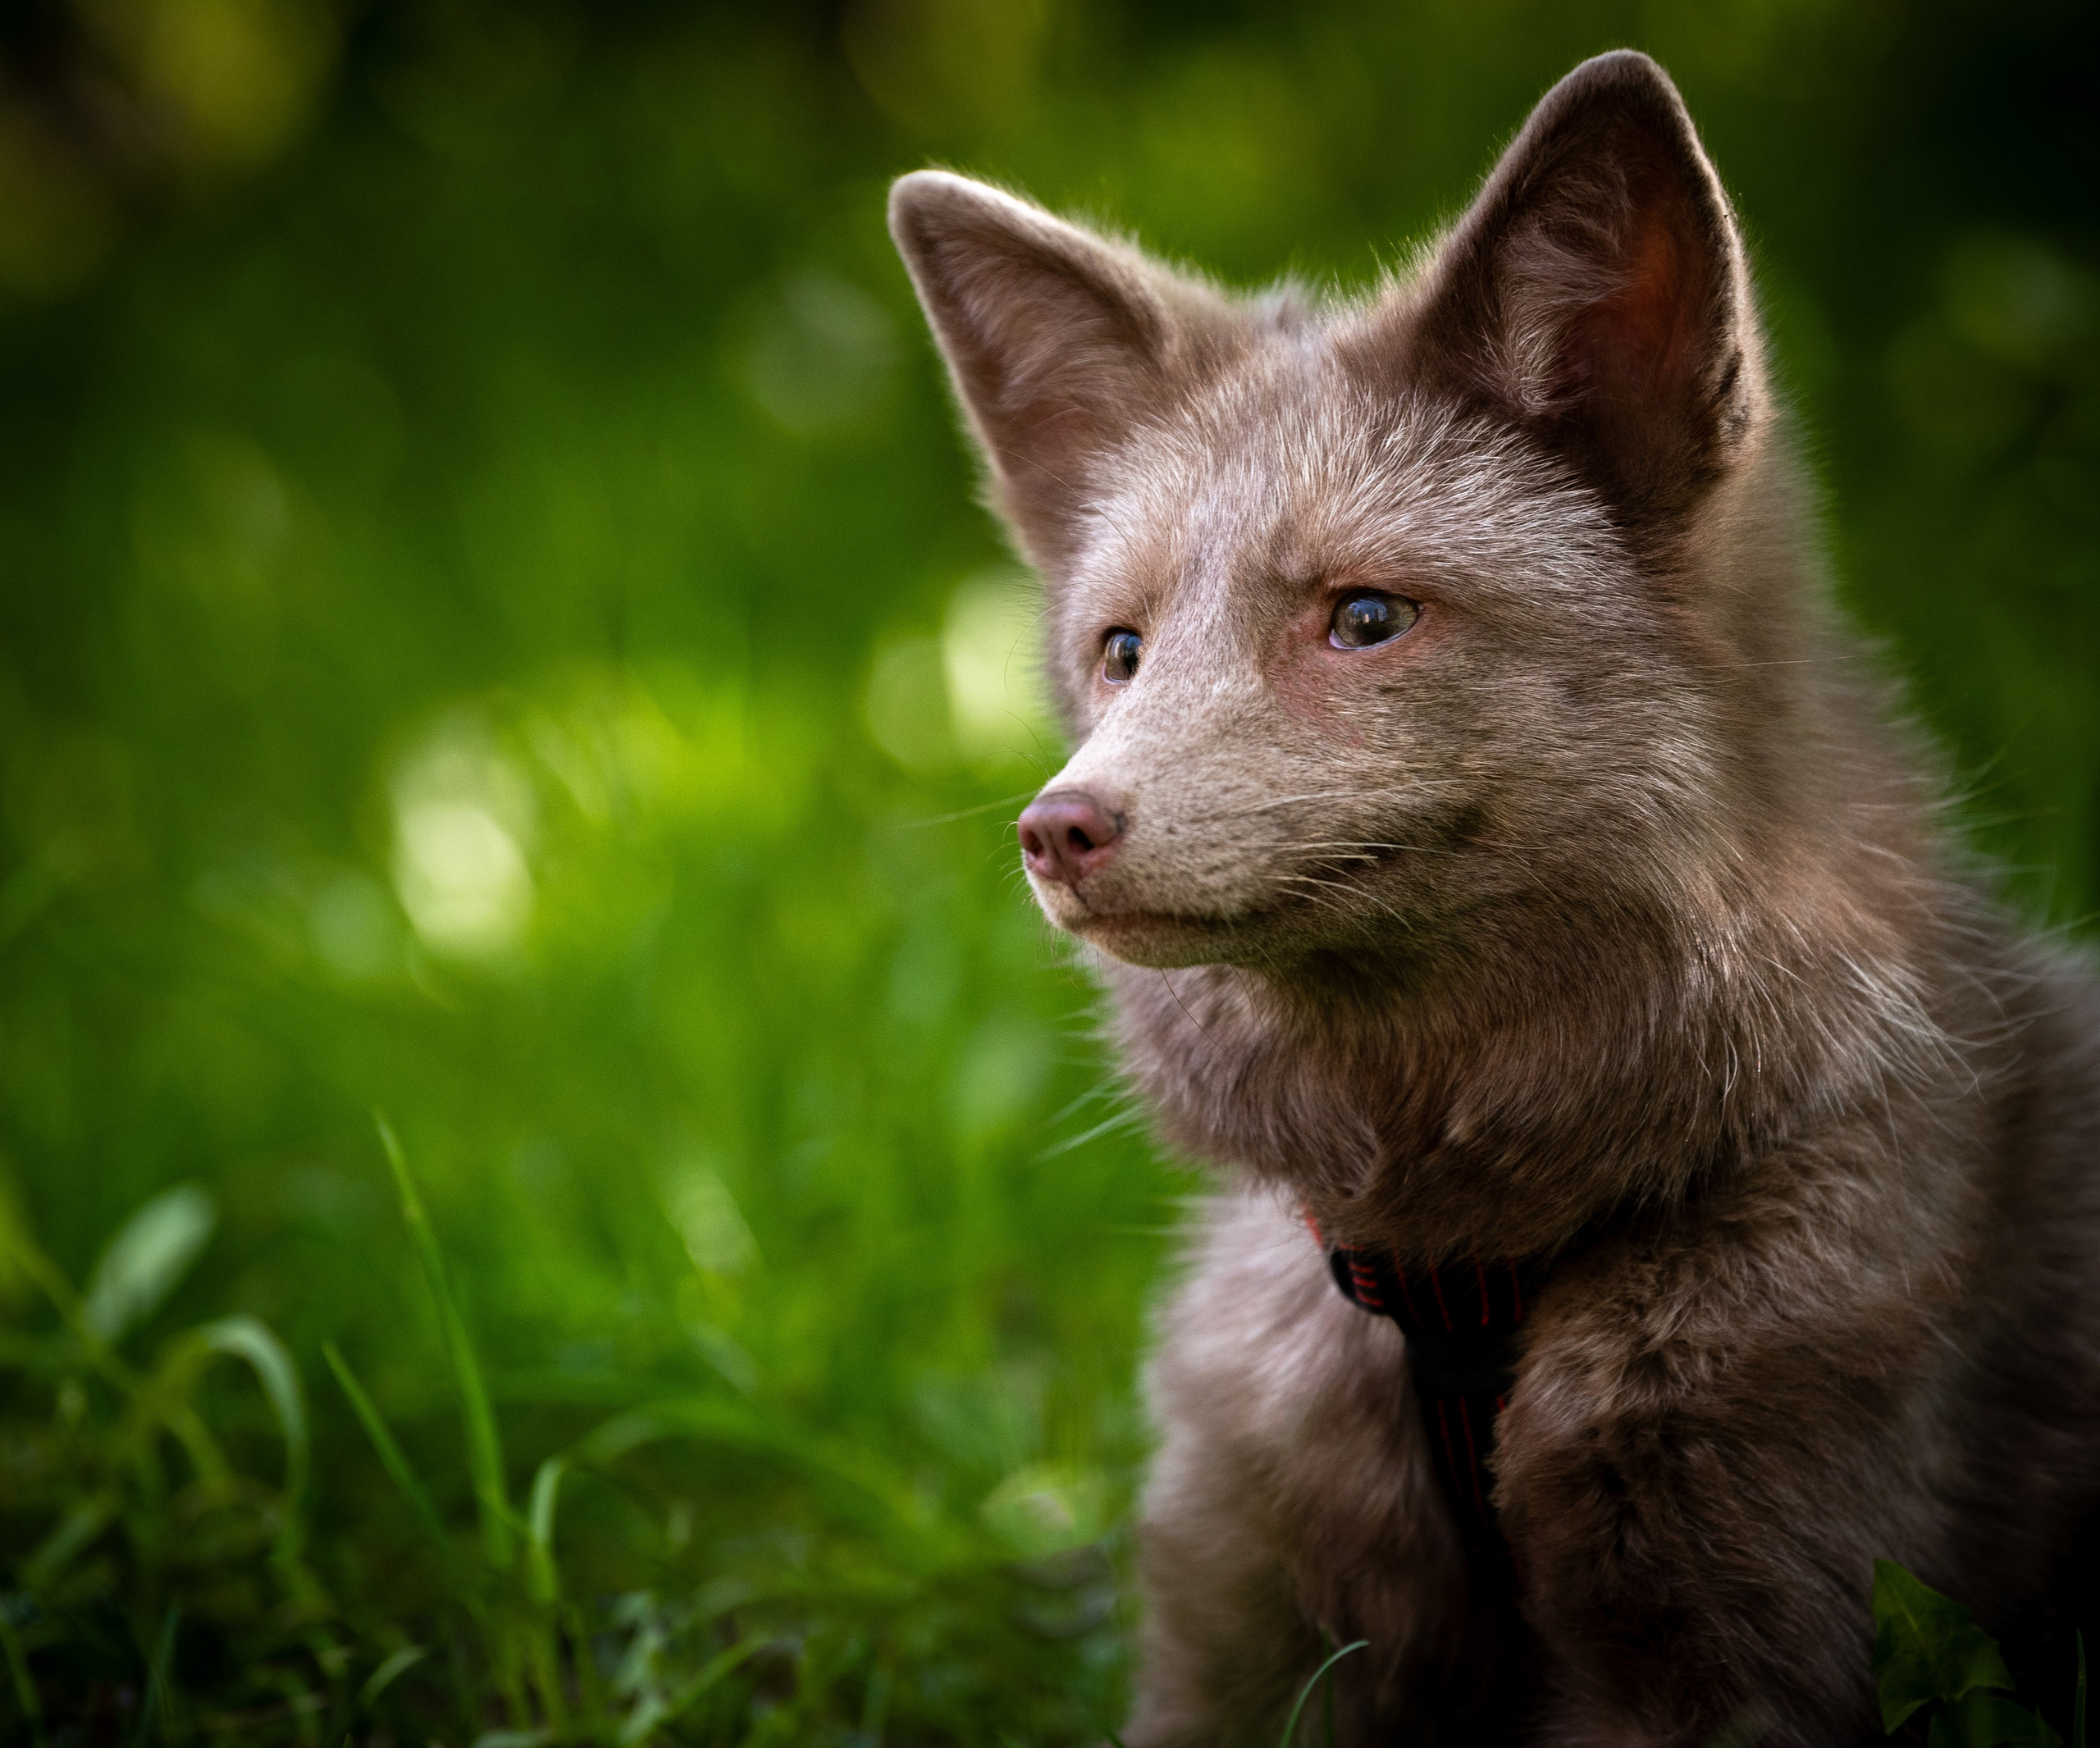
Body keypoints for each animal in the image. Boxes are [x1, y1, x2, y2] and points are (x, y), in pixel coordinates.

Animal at [888, 50, 2100, 1747]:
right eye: (1122, 649)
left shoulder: (1740, 1641)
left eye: (1365, 619)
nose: (1056, 831)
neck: (1466, 1281)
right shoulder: (1242, 1630)